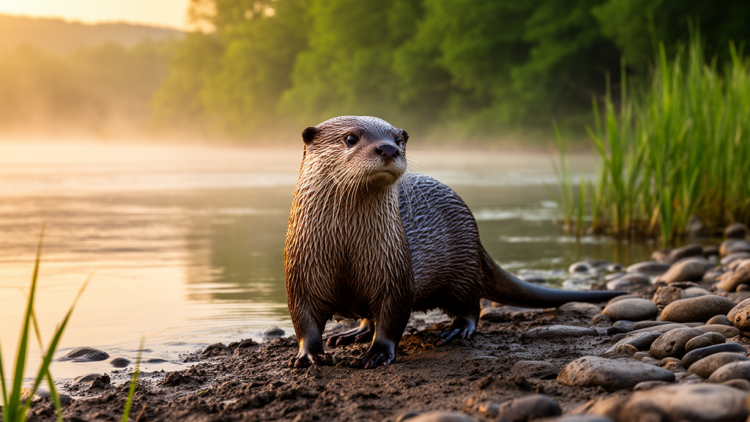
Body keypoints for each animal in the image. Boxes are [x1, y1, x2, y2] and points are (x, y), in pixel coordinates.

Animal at [285, 116, 623, 369]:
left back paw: (458, 330)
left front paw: (378, 353)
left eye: (398, 139)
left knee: (471, 306)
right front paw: (310, 354)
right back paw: (351, 334)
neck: (345, 254)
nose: (388, 149)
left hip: (463, 267)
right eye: (351, 138)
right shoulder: (299, 275)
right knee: (368, 316)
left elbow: (393, 317)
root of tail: (476, 234)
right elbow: (303, 320)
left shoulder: (395, 273)